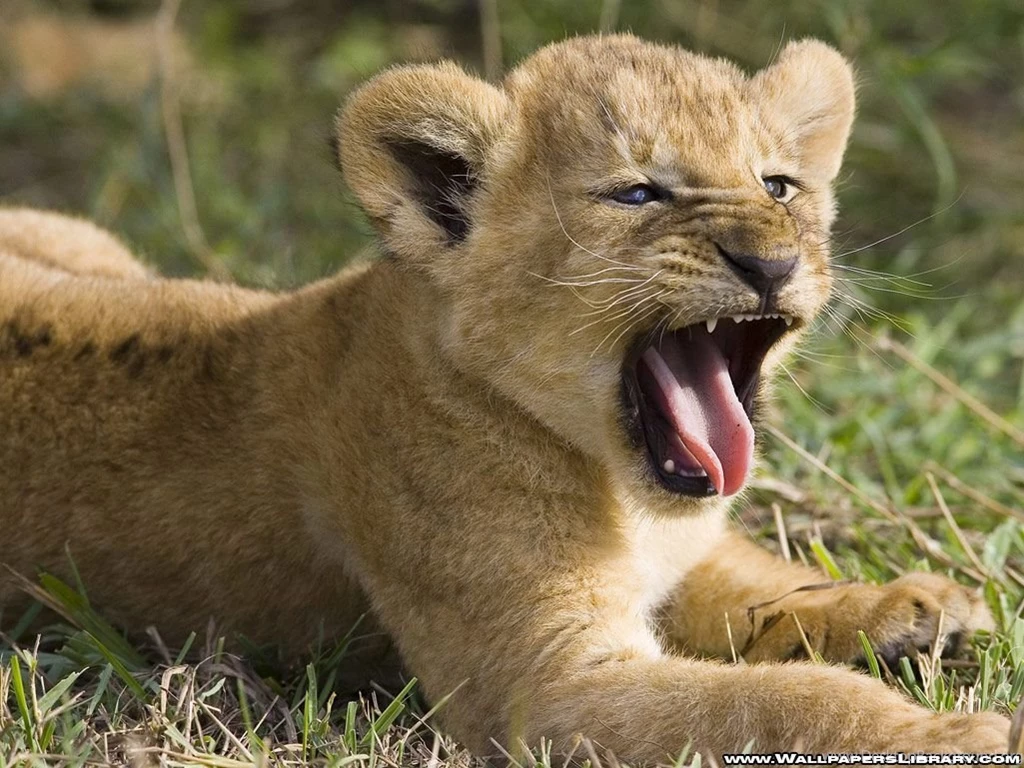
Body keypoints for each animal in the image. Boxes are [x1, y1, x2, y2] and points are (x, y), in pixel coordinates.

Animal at [0, 35, 1010, 760]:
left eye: (778, 184)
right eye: (637, 194)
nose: (770, 262)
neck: (618, 486)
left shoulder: (683, 557)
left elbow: (766, 583)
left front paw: (910, 606)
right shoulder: (542, 689)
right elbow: (779, 703)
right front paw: (952, 733)